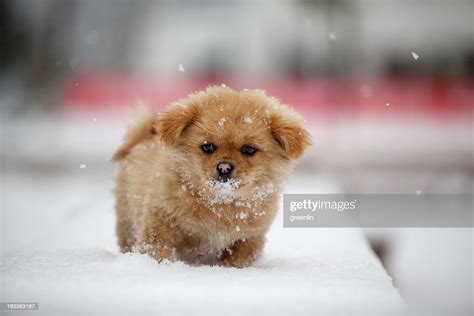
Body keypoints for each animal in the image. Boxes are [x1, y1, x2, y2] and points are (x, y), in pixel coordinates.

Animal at [112, 86, 312, 266]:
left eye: (249, 149)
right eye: (207, 147)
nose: (224, 167)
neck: (220, 205)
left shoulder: (250, 236)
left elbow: (240, 258)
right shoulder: (160, 222)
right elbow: (156, 249)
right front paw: (156, 266)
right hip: (128, 219)